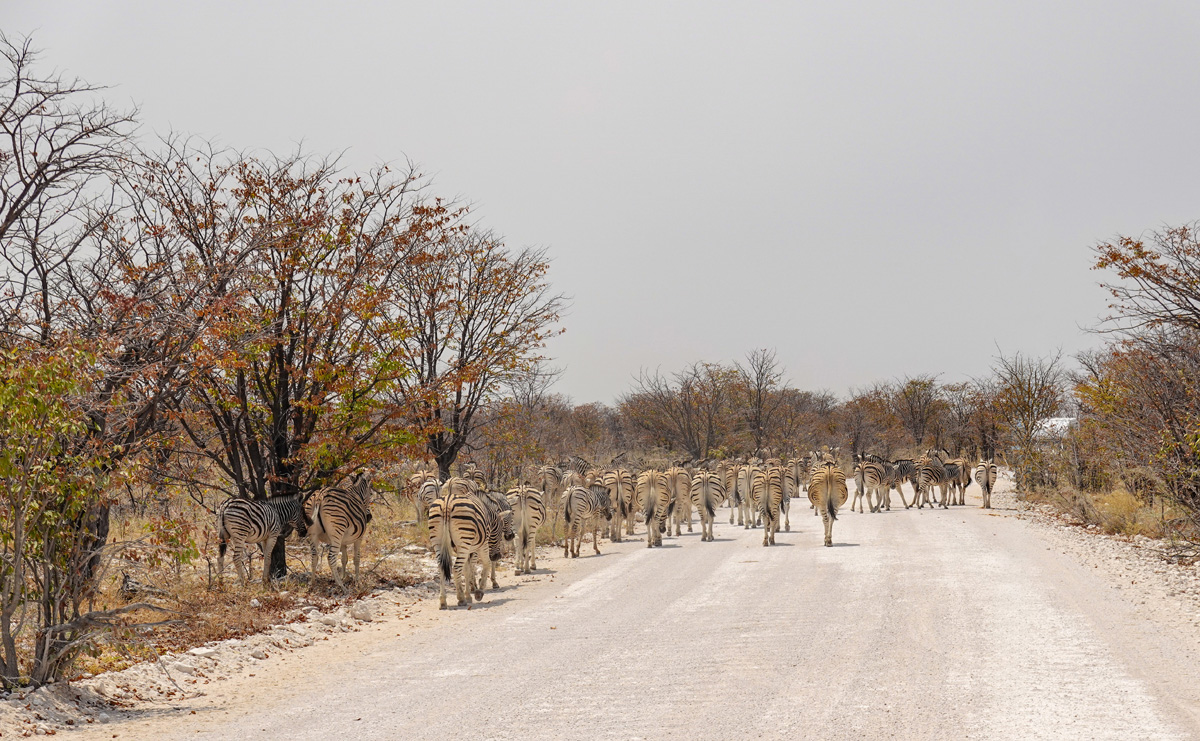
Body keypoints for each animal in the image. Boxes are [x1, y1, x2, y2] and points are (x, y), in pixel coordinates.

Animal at [428, 477, 508, 609]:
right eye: (500, 531)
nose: (497, 556)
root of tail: (447, 503)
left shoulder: (464, 549)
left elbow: (466, 569)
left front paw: (469, 595)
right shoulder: (481, 545)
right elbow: (484, 564)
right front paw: (478, 592)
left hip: (438, 543)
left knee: (441, 568)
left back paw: (443, 601)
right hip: (464, 543)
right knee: (456, 569)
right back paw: (461, 599)